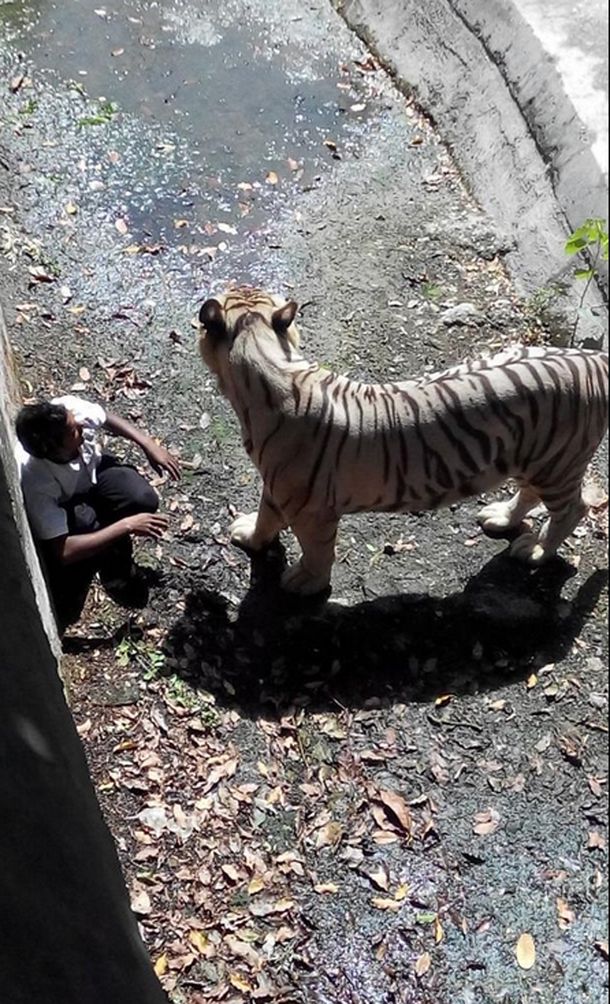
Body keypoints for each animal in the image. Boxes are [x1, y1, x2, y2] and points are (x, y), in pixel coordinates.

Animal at [197, 286, 608, 595]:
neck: (265, 356)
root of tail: (593, 359)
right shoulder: (278, 487)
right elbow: (266, 517)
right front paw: (250, 535)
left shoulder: (310, 509)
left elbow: (317, 551)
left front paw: (305, 583)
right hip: (531, 456)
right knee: (529, 494)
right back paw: (501, 517)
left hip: (558, 463)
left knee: (573, 510)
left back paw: (536, 550)